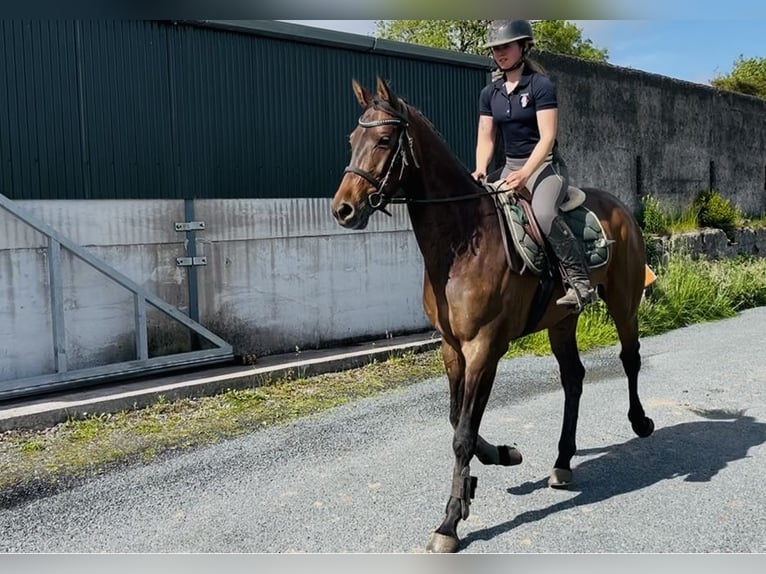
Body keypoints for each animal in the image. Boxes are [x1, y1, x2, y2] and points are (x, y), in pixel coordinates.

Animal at [331, 76, 654, 553]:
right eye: (353, 139)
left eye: (385, 140)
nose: (343, 209)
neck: (463, 241)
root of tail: (620, 209)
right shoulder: (451, 348)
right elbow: (456, 421)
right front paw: (497, 460)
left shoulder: (484, 348)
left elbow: (463, 435)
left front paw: (449, 522)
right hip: (561, 322)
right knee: (573, 379)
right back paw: (562, 461)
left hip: (623, 300)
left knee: (630, 357)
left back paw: (641, 422)